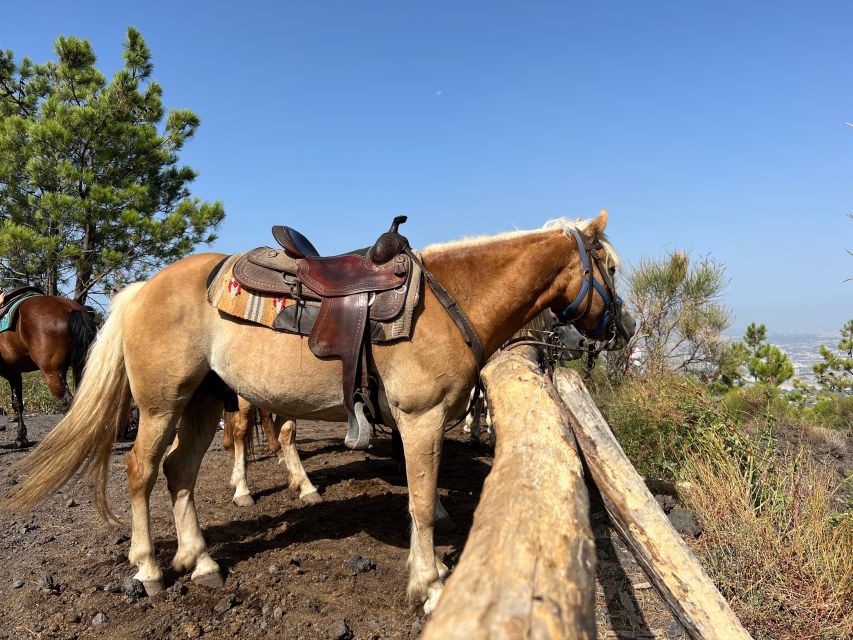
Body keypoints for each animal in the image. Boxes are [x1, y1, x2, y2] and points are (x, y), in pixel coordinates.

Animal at [0, 294, 97, 448]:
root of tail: (70, 309)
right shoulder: (14, 373)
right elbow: (17, 404)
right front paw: (21, 437)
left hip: (52, 373)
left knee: (67, 403)